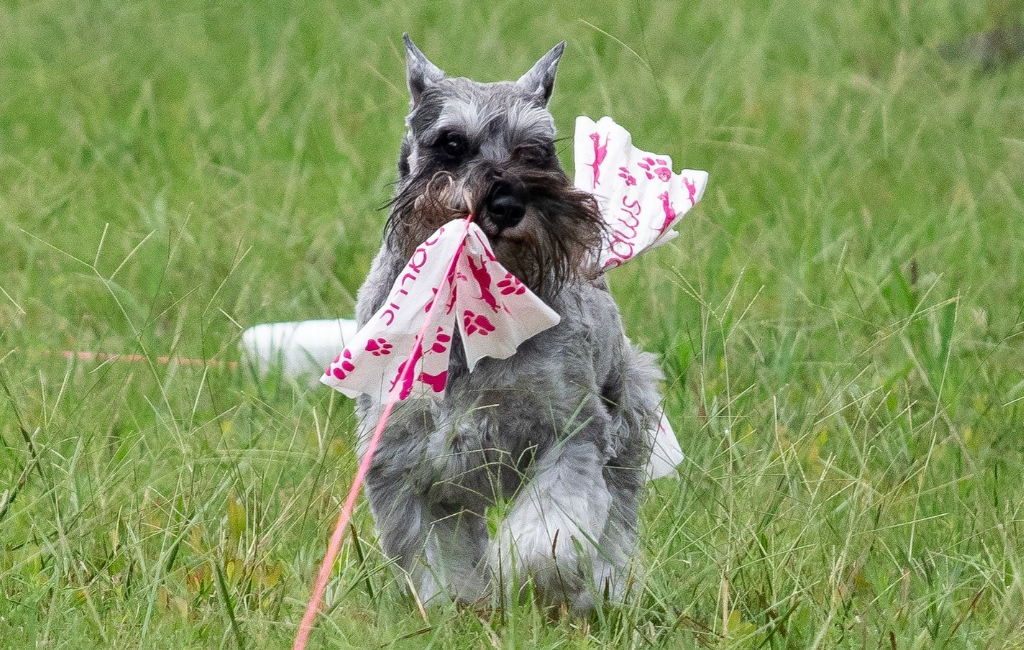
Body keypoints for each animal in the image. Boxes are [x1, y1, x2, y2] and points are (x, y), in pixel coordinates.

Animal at [354, 35, 663, 614]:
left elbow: (548, 537)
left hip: (627, 424)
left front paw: (529, 580)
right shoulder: (406, 460)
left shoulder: (571, 431)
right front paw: (457, 607)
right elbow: (438, 555)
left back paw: (600, 592)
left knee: (616, 525)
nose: (507, 203)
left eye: (536, 151)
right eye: (452, 143)